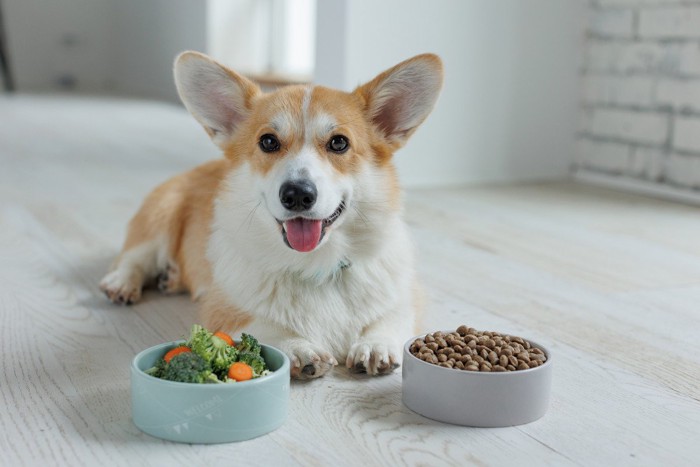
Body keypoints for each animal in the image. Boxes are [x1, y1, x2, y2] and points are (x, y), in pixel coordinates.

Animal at [100, 51, 442, 380]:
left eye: (339, 143)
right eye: (268, 141)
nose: (297, 194)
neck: (317, 266)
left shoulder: (406, 295)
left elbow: (390, 317)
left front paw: (375, 344)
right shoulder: (224, 309)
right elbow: (263, 325)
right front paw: (299, 347)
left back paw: (170, 277)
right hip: (162, 213)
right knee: (134, 257)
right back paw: (123, 282)